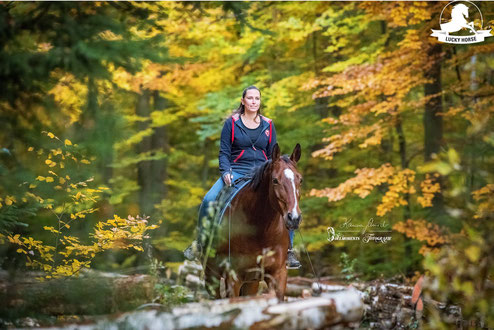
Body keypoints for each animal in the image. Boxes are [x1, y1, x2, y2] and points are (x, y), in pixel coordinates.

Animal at [204, 143, 302, 300]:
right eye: (275, 180)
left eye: (300, 180)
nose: (294, 218)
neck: (260, 231)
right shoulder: (233, 278)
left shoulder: (278, 276)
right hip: (212, 277)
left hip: (251, 283)